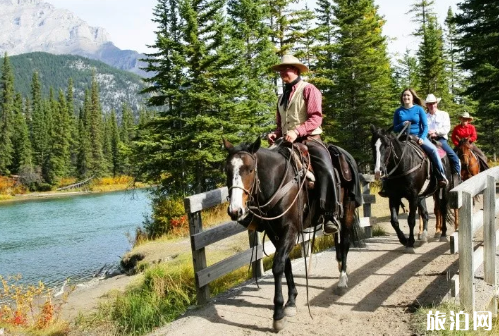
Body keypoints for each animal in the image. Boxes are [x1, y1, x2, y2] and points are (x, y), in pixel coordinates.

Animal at [225, 136, 362, 330]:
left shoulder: (290, 230)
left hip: (348, 212)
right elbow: (286, 264)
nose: (235, 211)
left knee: (345, 243)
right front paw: (291, 301)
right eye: (227, 171)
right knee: (338, 242)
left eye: (250, 169)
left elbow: (278, 266)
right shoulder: (274, 232)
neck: (278, 181)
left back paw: (342, 280)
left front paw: (278, 314)